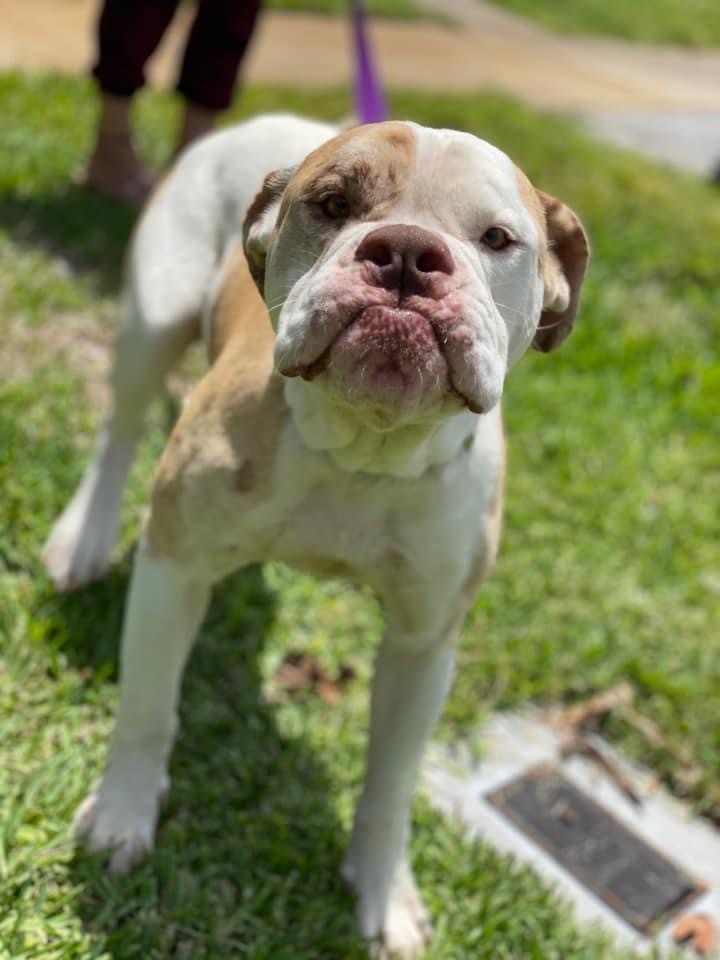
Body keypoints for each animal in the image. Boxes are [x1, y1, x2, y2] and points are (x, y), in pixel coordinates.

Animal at [43, 114, 584, 960]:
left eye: (497, 238)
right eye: (333, 205)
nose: (406, 252)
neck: (364, 446)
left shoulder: (423, 646)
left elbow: (391, 782)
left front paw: (384, 891)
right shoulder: (174, 566)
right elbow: (147, 709)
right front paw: (122, 817)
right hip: (152, 317)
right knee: (121, 423)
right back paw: (86, 537)